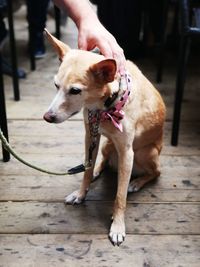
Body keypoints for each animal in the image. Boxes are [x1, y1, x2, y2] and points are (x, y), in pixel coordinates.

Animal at [43, 29, 166, 247]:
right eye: (56, 85)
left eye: (75, 90)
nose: (47, 117)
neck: (106, 106)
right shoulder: (91, 136)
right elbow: (86, 170)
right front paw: (81, 194)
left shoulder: (127, 153)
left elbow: (120, 196)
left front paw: (117, 226)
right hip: (107, 144)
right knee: (102, 162)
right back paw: (98, 172)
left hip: (146, 153)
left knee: (156, 172)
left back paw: (137, 182)